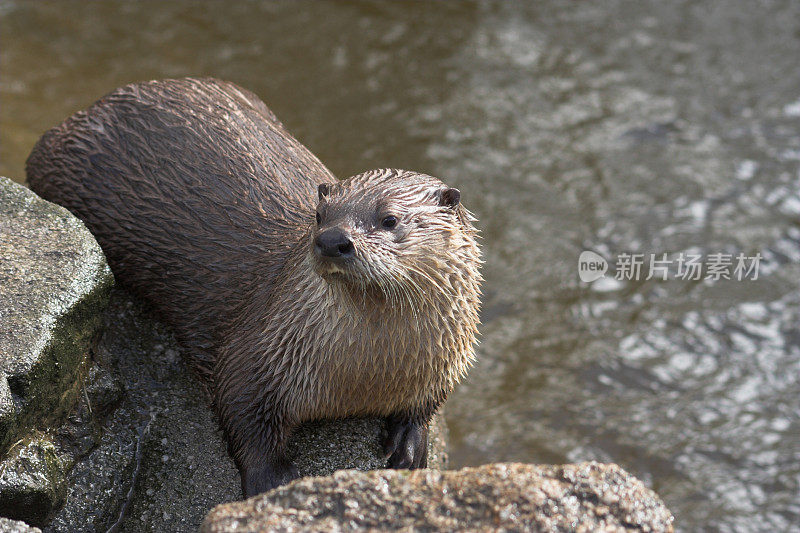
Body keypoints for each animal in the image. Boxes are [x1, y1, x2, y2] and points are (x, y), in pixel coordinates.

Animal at [26, 77, 482, 496]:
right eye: (320, 214)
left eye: (389, 219)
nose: (332, 240)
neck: (368, 373)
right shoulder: (258, 353)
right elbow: (242, 413)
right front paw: (272, 481)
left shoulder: (445, 362)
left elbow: (427, 404)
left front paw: (410, 442)